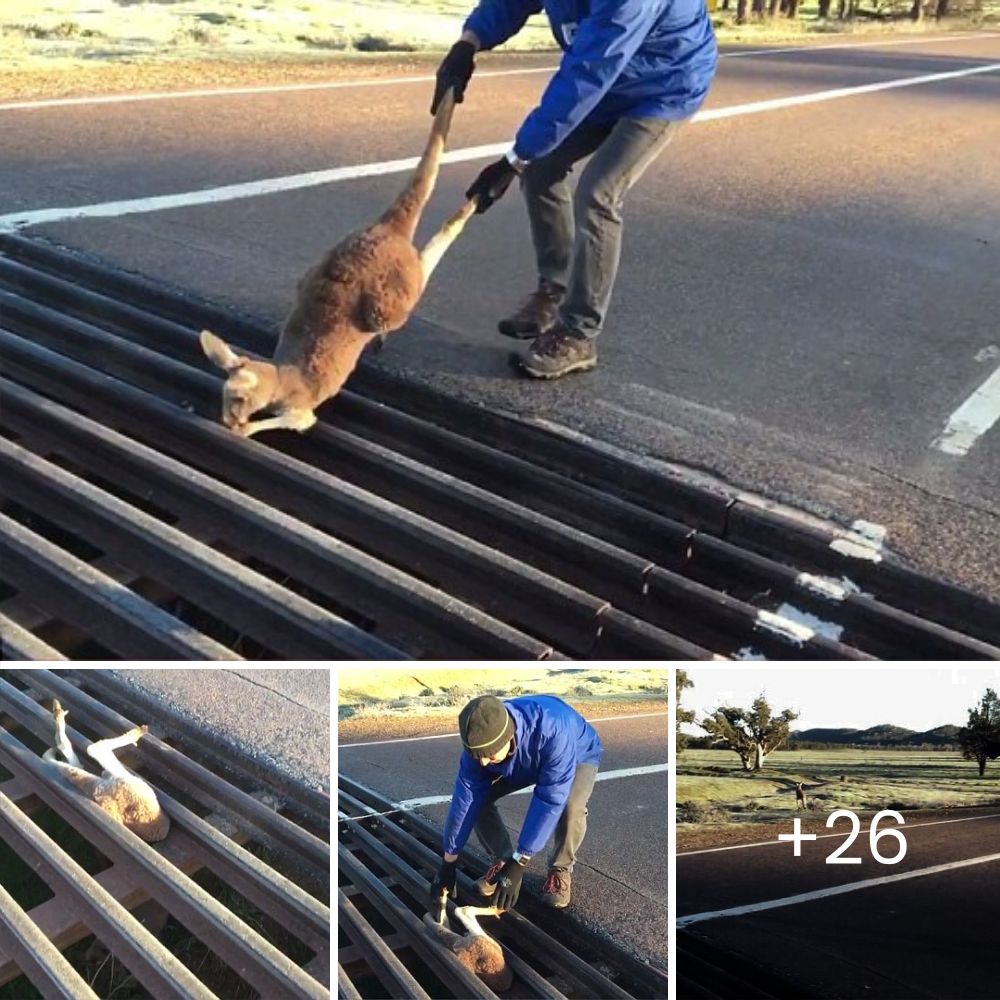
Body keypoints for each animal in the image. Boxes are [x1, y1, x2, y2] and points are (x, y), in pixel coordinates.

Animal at [200, 88, 476, 440]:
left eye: (236, 402)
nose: (226, 421)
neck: (282, 375)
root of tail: (386, 228)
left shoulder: (298, 410)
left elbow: (297, 422)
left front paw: (245, 429)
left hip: (391, 297)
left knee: (420, 272)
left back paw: (465, 212)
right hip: (323, 268)